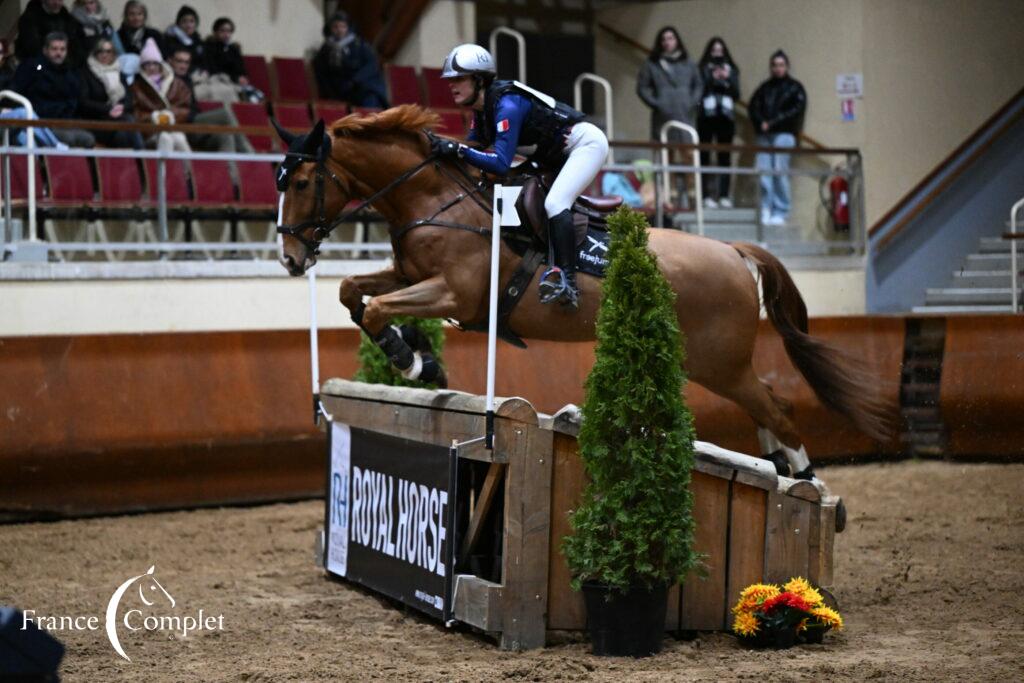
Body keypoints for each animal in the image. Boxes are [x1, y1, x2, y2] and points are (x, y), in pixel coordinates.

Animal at [274, 105, 888, 475]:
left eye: (302, 182)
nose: (290, 258)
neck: (431, 199)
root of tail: (734, 253)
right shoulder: (409, 276)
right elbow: (354, 293)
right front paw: (422, 360)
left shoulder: (456, 294)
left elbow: (378, 308)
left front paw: (413, 363)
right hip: (715, 363)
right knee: (765, 409)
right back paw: (782, 472)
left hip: (718, 362)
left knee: (777, 409)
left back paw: (806, 484)